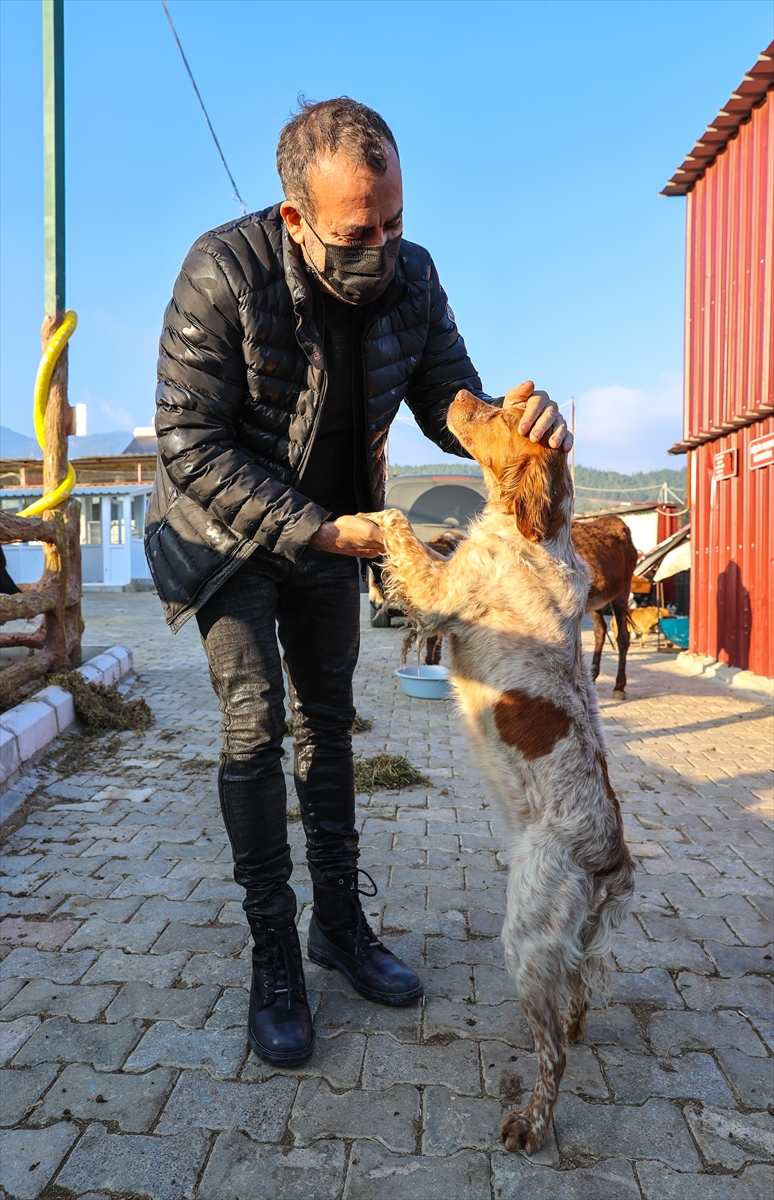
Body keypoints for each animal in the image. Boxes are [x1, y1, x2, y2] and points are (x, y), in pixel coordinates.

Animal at [362, 391, 633, 1152]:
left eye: (501, 410)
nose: (457, 395)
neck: (536, 534)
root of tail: (612, 861)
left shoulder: (440, 590)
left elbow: (402, 528)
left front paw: (365, 516)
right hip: (564, 939)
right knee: (577, 995)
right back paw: (571, 1024)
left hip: (525, 933)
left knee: (553, 1053)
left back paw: (530, 1124)